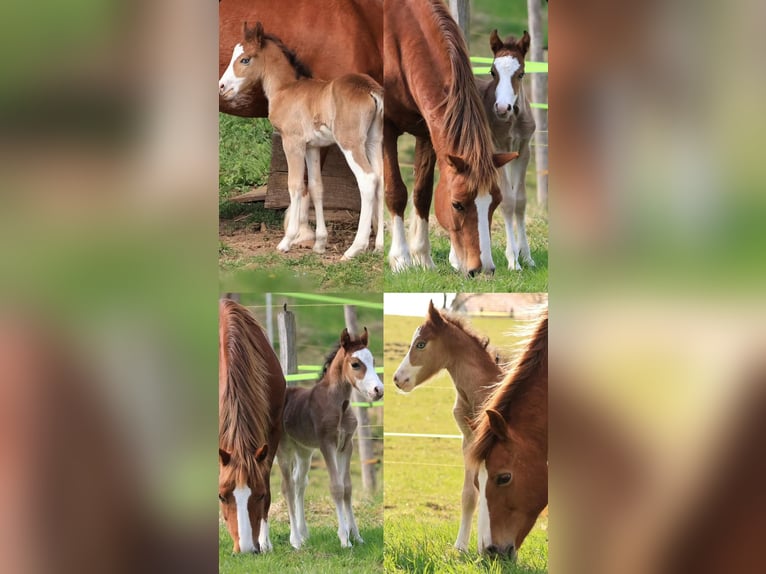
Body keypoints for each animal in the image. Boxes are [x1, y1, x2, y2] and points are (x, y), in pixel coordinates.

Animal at [220, 22, 384, 259]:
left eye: (245, 59)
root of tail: (370, 89)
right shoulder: (312, 147)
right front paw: (320, 243)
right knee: (381, 179)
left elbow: (295, 185)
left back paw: (355, 248)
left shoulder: (292, 143)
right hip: (374, 140)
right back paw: (379, 246)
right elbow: (316, 186)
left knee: (368, 179)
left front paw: (288, 240)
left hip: (351, 143)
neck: (285, 89)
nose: (222, 86)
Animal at [277, 328, 383, 549]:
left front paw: (356, 536)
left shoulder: (347, 445)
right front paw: (344, 538)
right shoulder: (327, 445)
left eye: (373, 360)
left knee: (299, 483)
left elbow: (347, 488)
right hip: (282, 449)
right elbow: (336, 487)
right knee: (286, 487)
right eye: (355, 364)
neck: (338, 406)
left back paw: (303, 533)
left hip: (303, 451)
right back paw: (293, 540)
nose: (378, 390)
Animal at [384, 0, 519, 276]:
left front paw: (422, 257)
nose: (483, 269)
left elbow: (422, 193)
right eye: (457, 204)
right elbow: (396, 191)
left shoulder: (426, 130)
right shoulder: (384, 125)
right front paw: (401, 259)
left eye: (495, 202)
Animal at [477, 30, 537, 270]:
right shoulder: (497, 148)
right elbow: (508, 201)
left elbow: (519, 200)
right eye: (492, 72)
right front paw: (513, 260)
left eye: (521, 74)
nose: (502, 108)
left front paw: (526, 256)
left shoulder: (523, 151)